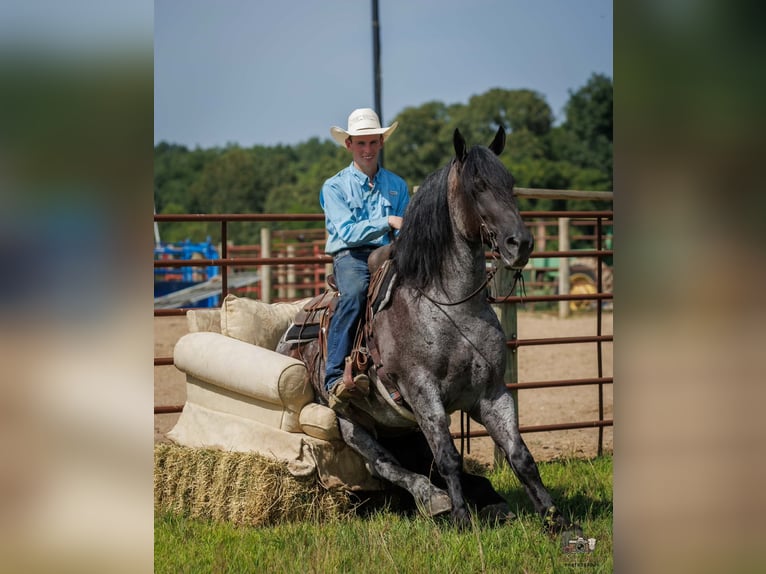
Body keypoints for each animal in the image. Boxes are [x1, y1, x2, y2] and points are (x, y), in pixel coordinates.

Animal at [277, 127, 572, 531]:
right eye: (478, 185)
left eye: (510, 183)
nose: (521, 243)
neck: (451, 305)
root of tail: (289, 334)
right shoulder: (422, 392)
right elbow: (448, 456)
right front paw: (462, 519)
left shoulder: (492, 392)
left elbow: (520, 455)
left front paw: (556, 520)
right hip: (346, 422)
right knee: (383, 464)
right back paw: (434, 498)